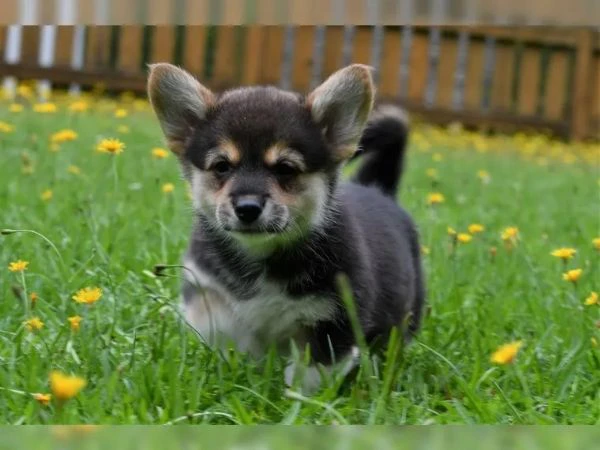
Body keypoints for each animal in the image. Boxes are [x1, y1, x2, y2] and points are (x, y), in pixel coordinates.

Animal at [148, 63, 424, 390]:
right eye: (222, 167)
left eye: (285, 169)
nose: (247, 208)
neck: (264, 255)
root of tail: (378, 188)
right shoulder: (206, 283)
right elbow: (219, 322)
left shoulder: (335, 318)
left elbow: (310, 372)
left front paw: (293, 398)